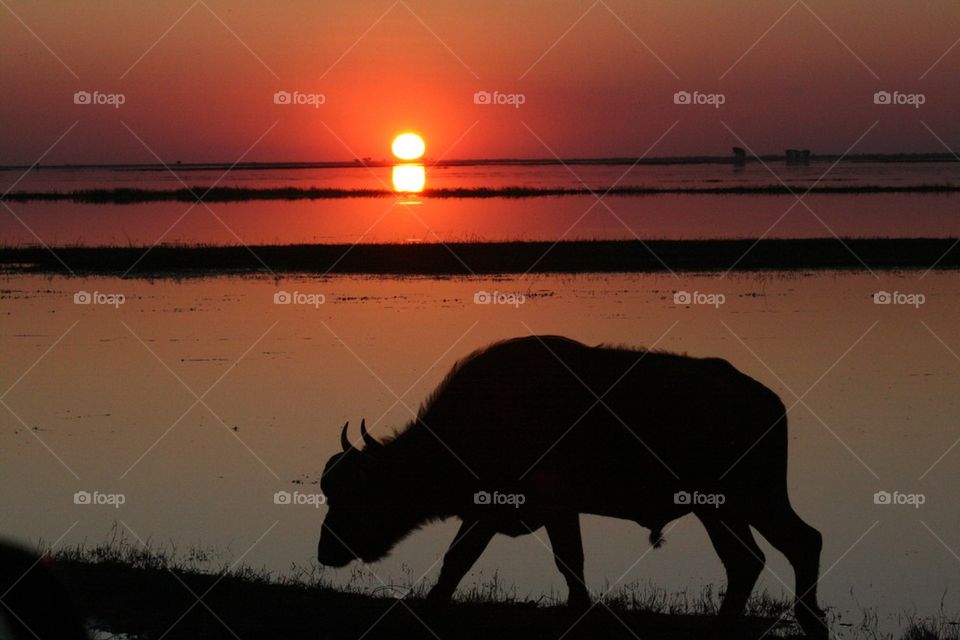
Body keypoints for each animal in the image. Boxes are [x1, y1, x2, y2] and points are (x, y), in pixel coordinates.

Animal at [318, 336, 826, 637]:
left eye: (358, 493)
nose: (326, 551)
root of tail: (769, 402)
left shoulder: (548, 507)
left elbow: (566, 560)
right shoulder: (489, 511)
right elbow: (458, 559)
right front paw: (434, 602)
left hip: (749, 500)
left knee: (801, 543)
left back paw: (808, 619)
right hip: (722, 509)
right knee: (749, 559)